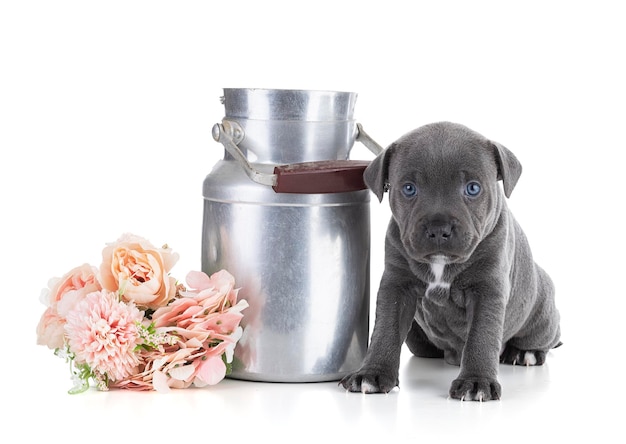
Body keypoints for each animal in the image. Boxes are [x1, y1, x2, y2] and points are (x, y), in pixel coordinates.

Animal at [342, 122, 560, 402]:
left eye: (473, 188)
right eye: (409, 188)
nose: (438, 228)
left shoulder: (487, 291)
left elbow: (482, 335)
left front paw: (476, 382)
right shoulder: (396, 286)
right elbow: (385, 330)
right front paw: (372, 374)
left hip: (542, 311)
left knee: (545, 335)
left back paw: (525, 352)